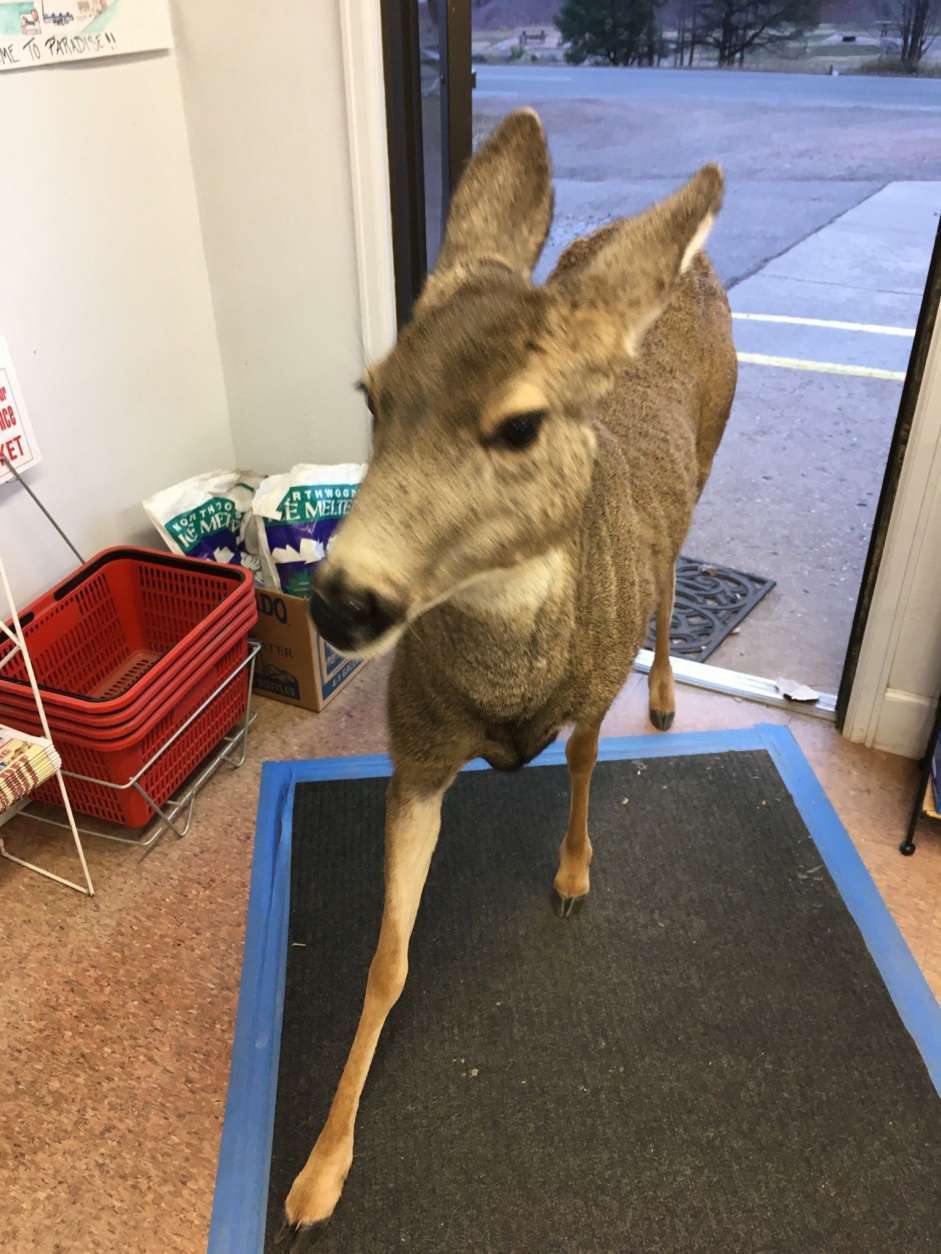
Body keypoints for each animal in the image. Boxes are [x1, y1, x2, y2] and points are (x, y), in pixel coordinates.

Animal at [287, 105, 737, 1233]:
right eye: (373, 393)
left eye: (520, 422)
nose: (341, 600)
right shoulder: (414, 750)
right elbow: (384, 961)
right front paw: (317, 1173)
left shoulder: (589, 684)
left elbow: (580, 767)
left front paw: (573, 875)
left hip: (706, 462)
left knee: (673, 574)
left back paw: (667, 696)